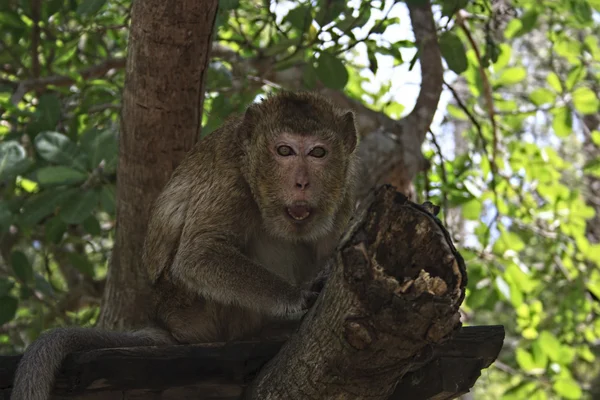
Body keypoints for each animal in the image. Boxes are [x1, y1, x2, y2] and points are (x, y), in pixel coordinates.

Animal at [10, 91, 356, 400]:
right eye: (284, 150)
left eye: (318, 153)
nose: (301, 182)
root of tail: (169, 325)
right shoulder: (230, 178)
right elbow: (198, 256)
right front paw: (298, 297)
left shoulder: (343, 196)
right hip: (195, 309)